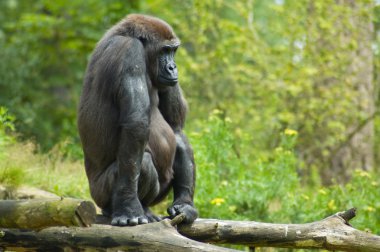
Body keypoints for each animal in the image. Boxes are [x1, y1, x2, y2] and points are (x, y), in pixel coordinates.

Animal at [77, 13, 197, 226]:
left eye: (173, 51)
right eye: (164, 51)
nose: (173, 67)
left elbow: (176, 128)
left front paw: (185, 205)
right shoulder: (129, 52)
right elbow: (136, 127)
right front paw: (129, 207)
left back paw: (149, 209)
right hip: (99, 194)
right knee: (144, 162)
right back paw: (122, 209)